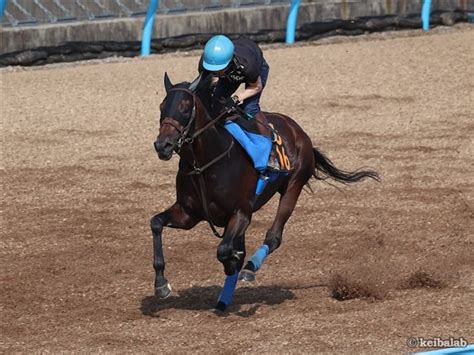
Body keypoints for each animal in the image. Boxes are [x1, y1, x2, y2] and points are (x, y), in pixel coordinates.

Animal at [151, 73, 378, 312]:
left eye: (185, 107)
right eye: (162, 106)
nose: (163, 145)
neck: (205, 164)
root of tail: (299, 131)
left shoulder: (241, 213)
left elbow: (224, 250)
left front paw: (235, 262)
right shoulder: (188, 214)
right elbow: (156, 223)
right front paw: (161, 284)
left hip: (293, 187)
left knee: (274, 236)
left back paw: (250, 268)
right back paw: (224, 299)